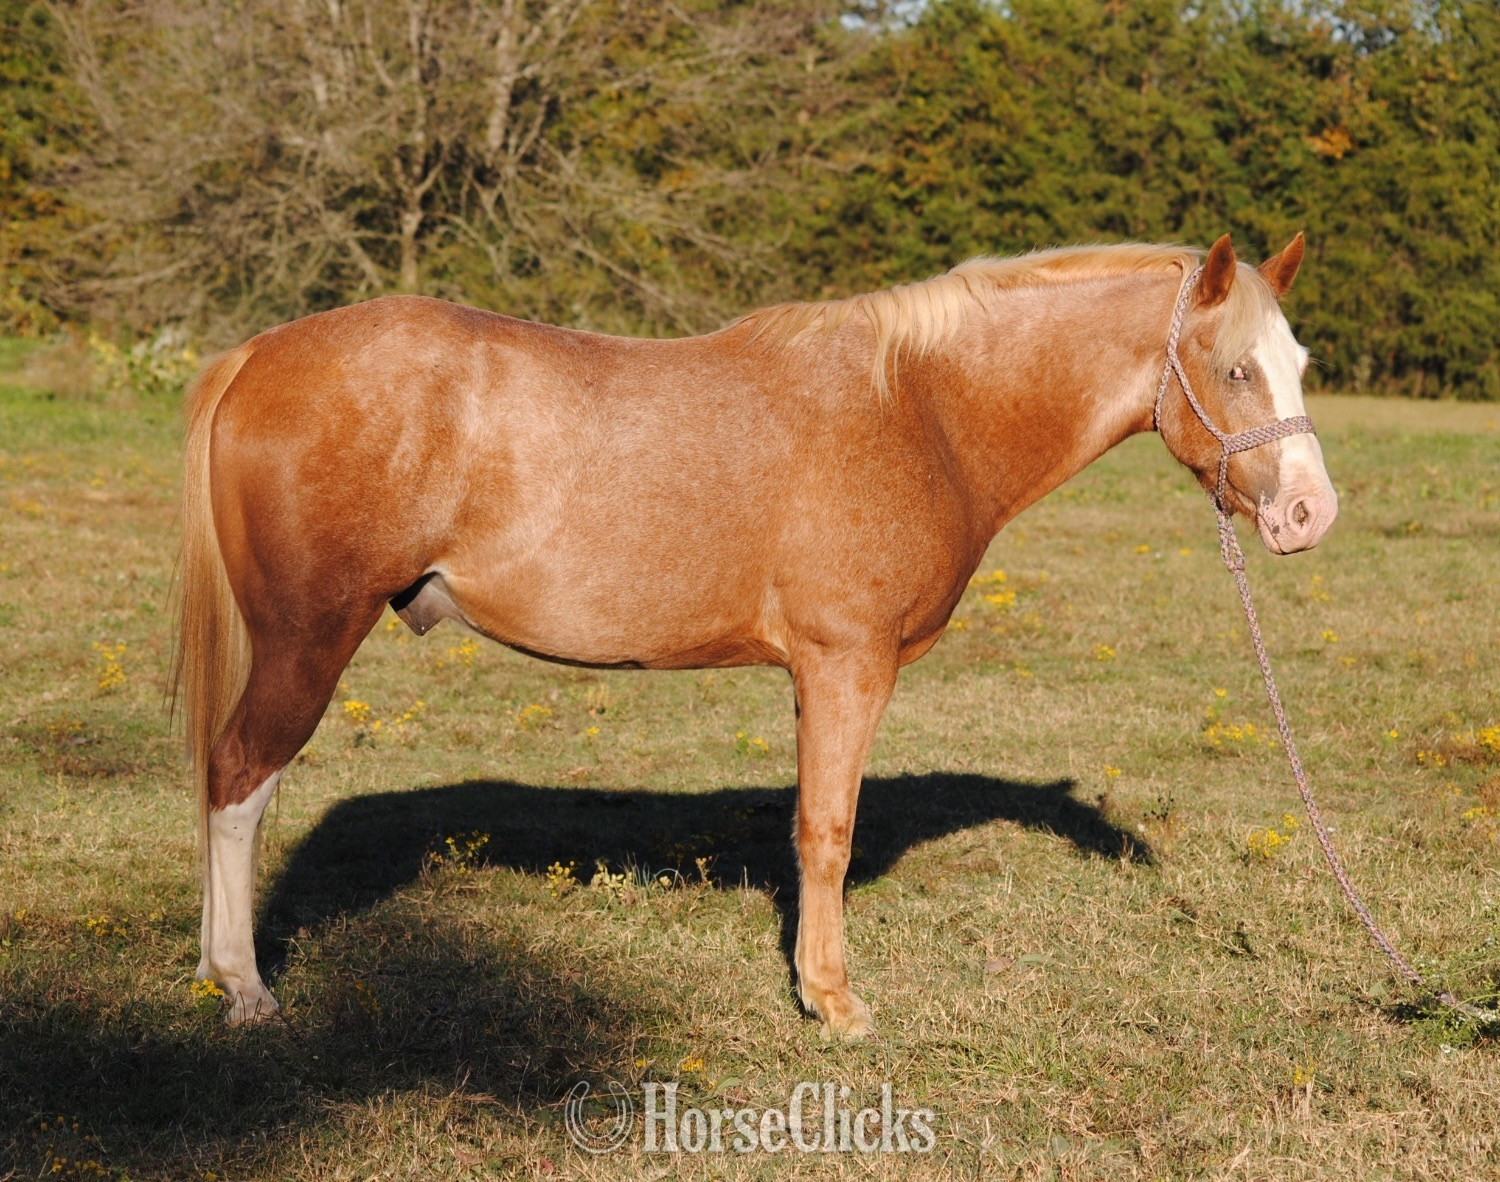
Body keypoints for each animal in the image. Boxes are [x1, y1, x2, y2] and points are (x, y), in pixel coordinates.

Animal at [174, 232, 1336, 1034]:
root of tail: (259, 354)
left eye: (1301, 359)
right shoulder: (845, 664)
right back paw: (245, 987)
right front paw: (834, 1001)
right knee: (238, 779)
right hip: (306, 640)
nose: (1309, 515)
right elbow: (827, 830)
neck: (922, 408)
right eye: (1235, 368)